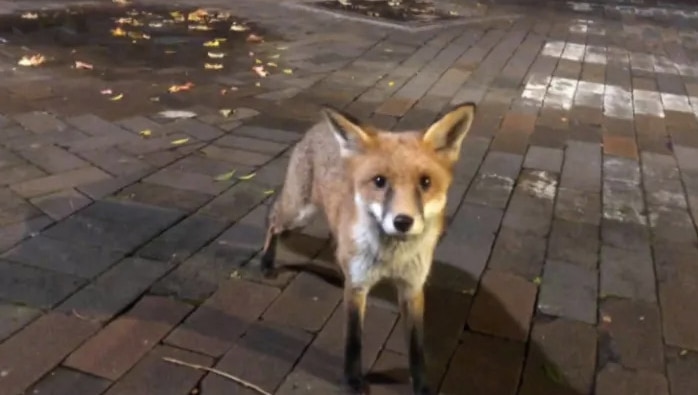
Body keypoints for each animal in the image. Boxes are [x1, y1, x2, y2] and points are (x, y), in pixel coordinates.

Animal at [258, 103, 476, 395]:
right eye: (379, 181)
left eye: (426, 182)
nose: (402, 222)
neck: (391, 258)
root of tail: (318, 128)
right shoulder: (359, 287)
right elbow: (354, 340)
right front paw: (352, 380)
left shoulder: (412, 287)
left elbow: (416, 348)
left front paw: (422, 386)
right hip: (299, 212)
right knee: (273, 220)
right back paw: (267, 262)